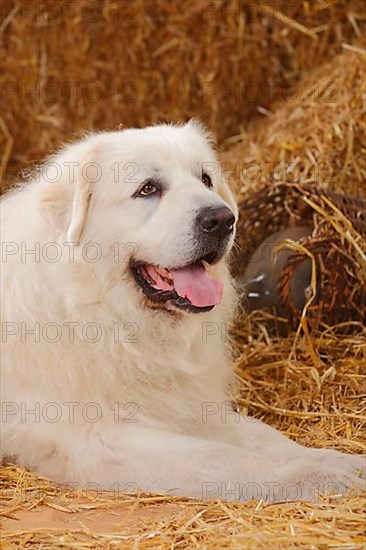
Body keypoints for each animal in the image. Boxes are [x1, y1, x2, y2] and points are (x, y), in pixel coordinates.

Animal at [1, 122, 364, 504]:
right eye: (148, 188)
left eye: (205, 179)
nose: (222, 219)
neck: (105, 315)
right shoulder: (98, 437)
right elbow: (223, 458)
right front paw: (315, 476)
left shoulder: (191, 407)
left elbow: (265, 437)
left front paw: (340, 462)